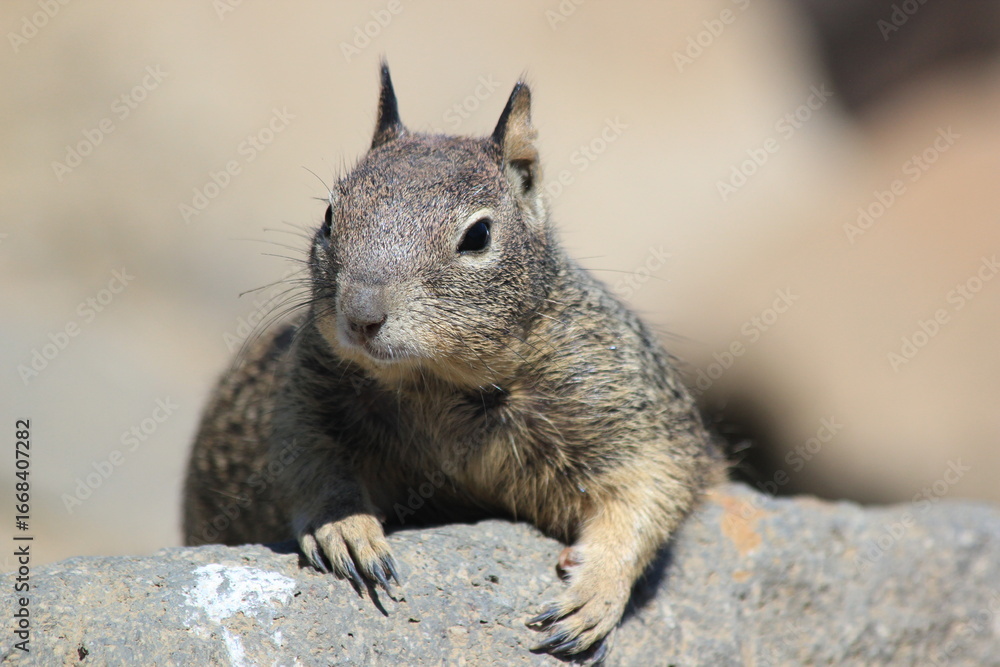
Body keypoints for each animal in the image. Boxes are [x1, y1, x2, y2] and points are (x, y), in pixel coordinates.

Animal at [182, 62, 725, 662]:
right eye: (329, 214)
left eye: (479, 235)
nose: (361, 316)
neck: (438, 380)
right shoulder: (304, 397)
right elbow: (309, 465)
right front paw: (348, 529)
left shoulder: (624, 401)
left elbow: (648, 489)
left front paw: (595, 593)